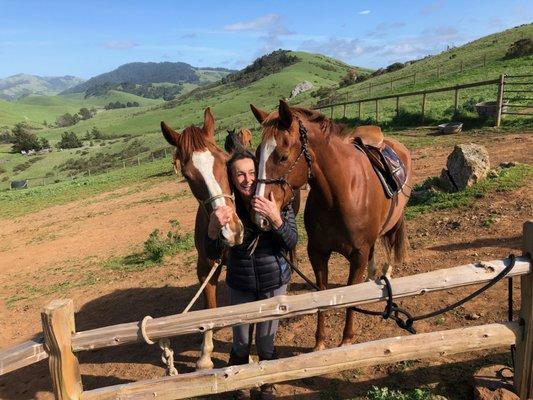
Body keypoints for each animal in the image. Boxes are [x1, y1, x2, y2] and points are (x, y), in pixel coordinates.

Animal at [160, 107, 243, 368]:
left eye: (224, 161)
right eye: (187, 175)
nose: (231, 229)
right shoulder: (205, 268)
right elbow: (210, 308)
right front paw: (205, 355)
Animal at [250, 100, 412, 350]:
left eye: (283, 157)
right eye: (257, 155)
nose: (260, 215)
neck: (341, 193)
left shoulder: (357, 255)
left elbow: (350, 297)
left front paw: (346, 340)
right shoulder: (317, 253)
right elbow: (322, 296)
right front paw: (320, 343)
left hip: (393, 223)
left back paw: (387, 272)